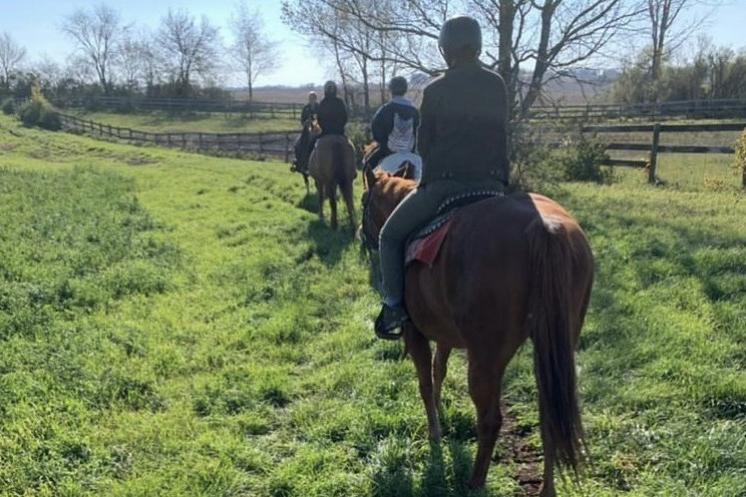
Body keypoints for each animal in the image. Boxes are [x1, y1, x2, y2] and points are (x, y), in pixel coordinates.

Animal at [360, 169, 592, 494]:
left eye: (363, 201)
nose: (361, 234)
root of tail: (545, 229)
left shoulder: (415, 333)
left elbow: (425, 382)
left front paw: (434, 433)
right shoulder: (445, 335)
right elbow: (439, 370)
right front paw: (441, 414)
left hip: (486, 358)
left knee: (491, 420)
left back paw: (474, 483)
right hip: (555, 350)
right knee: (550, 417)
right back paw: (547, 489)